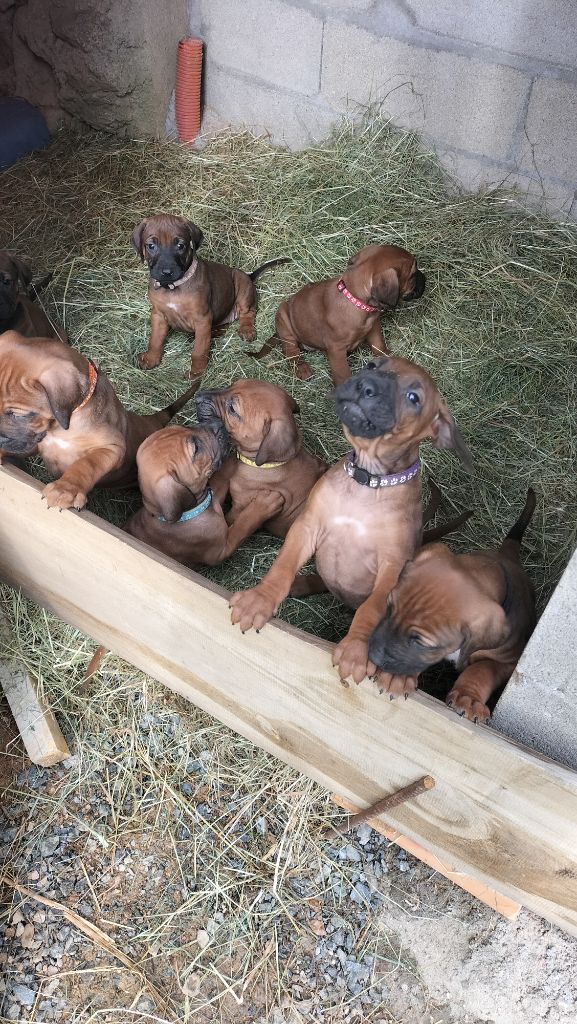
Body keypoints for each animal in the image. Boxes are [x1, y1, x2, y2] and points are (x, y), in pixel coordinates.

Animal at [0, 333, 198, 509]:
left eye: (18, 415)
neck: (62, 427)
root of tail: (152, 420)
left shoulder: (112, 448)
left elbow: (87, 463)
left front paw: (66, 489)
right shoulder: (34, 443)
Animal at [130, 216, 284, 380]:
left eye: (180, 245)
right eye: (151, 246)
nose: (167, 272)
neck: (173, 288)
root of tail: (249, 276)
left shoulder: (202, 318)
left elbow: (199, 350)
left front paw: (197, 372)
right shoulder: (158, 315)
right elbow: (155, 340)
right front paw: (151, 358)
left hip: (241, 282)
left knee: (248, 312)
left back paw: (246, 329)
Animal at [228, 358, 471, 688]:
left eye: (414, 398)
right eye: (372, 364)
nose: (365, 385)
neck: (366, 482)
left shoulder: (393, 564)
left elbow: (372, 607)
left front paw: (356, 650)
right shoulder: (307, 527)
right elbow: (283, 565)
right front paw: (259, 600)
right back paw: (300, 584)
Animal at [252, 243, 424, 385]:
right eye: (412, 275)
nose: (424, 277)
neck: (354, 299)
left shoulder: (374, 326)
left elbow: (378, 344)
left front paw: (387, 358)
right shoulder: (337, 350)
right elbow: (342, 374)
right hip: (284, 321)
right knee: (291, 352)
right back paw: (302, 368)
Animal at [368, 489, 541, 720]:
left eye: (421, 643)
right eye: (389, 608)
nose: (372, 655)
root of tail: (507, 554)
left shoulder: (508, 661)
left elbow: (481, 670)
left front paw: (469, 698)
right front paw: (398, 677)